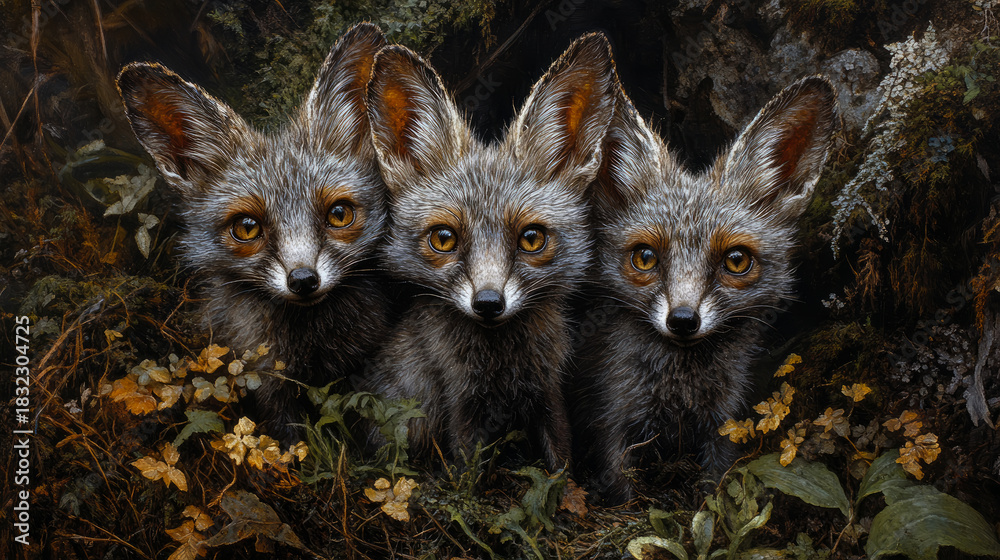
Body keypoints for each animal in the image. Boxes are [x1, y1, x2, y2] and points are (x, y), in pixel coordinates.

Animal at [116, 23, 391, 441]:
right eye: (247, 228)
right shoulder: (266, 382)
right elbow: (290, 438)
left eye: (339, 214)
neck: (313, 352)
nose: (303, 280)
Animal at [362, 33, 617, 470]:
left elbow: (561, 463)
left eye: (531, 239)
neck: (502, 366)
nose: (487, 302)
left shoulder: (548, 391)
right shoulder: (461, 402)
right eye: (443, 239)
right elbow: (468, 472)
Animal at [577, 75, 837, 501]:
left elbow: (715, 490)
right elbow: (623, 492)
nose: (683, 320)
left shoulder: (724, 423)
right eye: (645, 257)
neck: (679, 396)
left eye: (736, 260)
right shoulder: (613, 421)